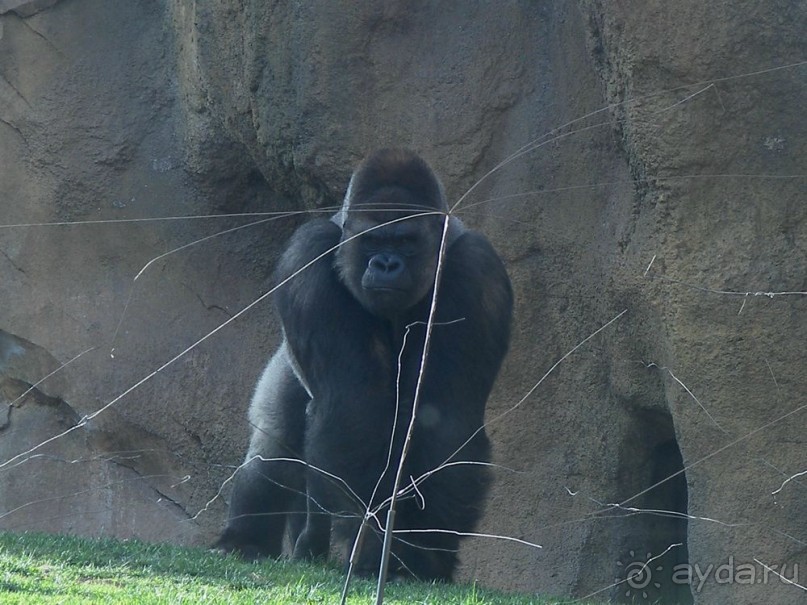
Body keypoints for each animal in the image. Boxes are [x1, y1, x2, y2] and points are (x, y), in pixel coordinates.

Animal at [215, 149, 516, 580]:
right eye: (373, 239)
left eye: (406, 241)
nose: (386, 264)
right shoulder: (311, 252)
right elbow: (353, 407)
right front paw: (377, 545)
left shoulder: (477, 267)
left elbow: (446, 417)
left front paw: (424, 553)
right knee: (274, 444)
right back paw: (249, 541)